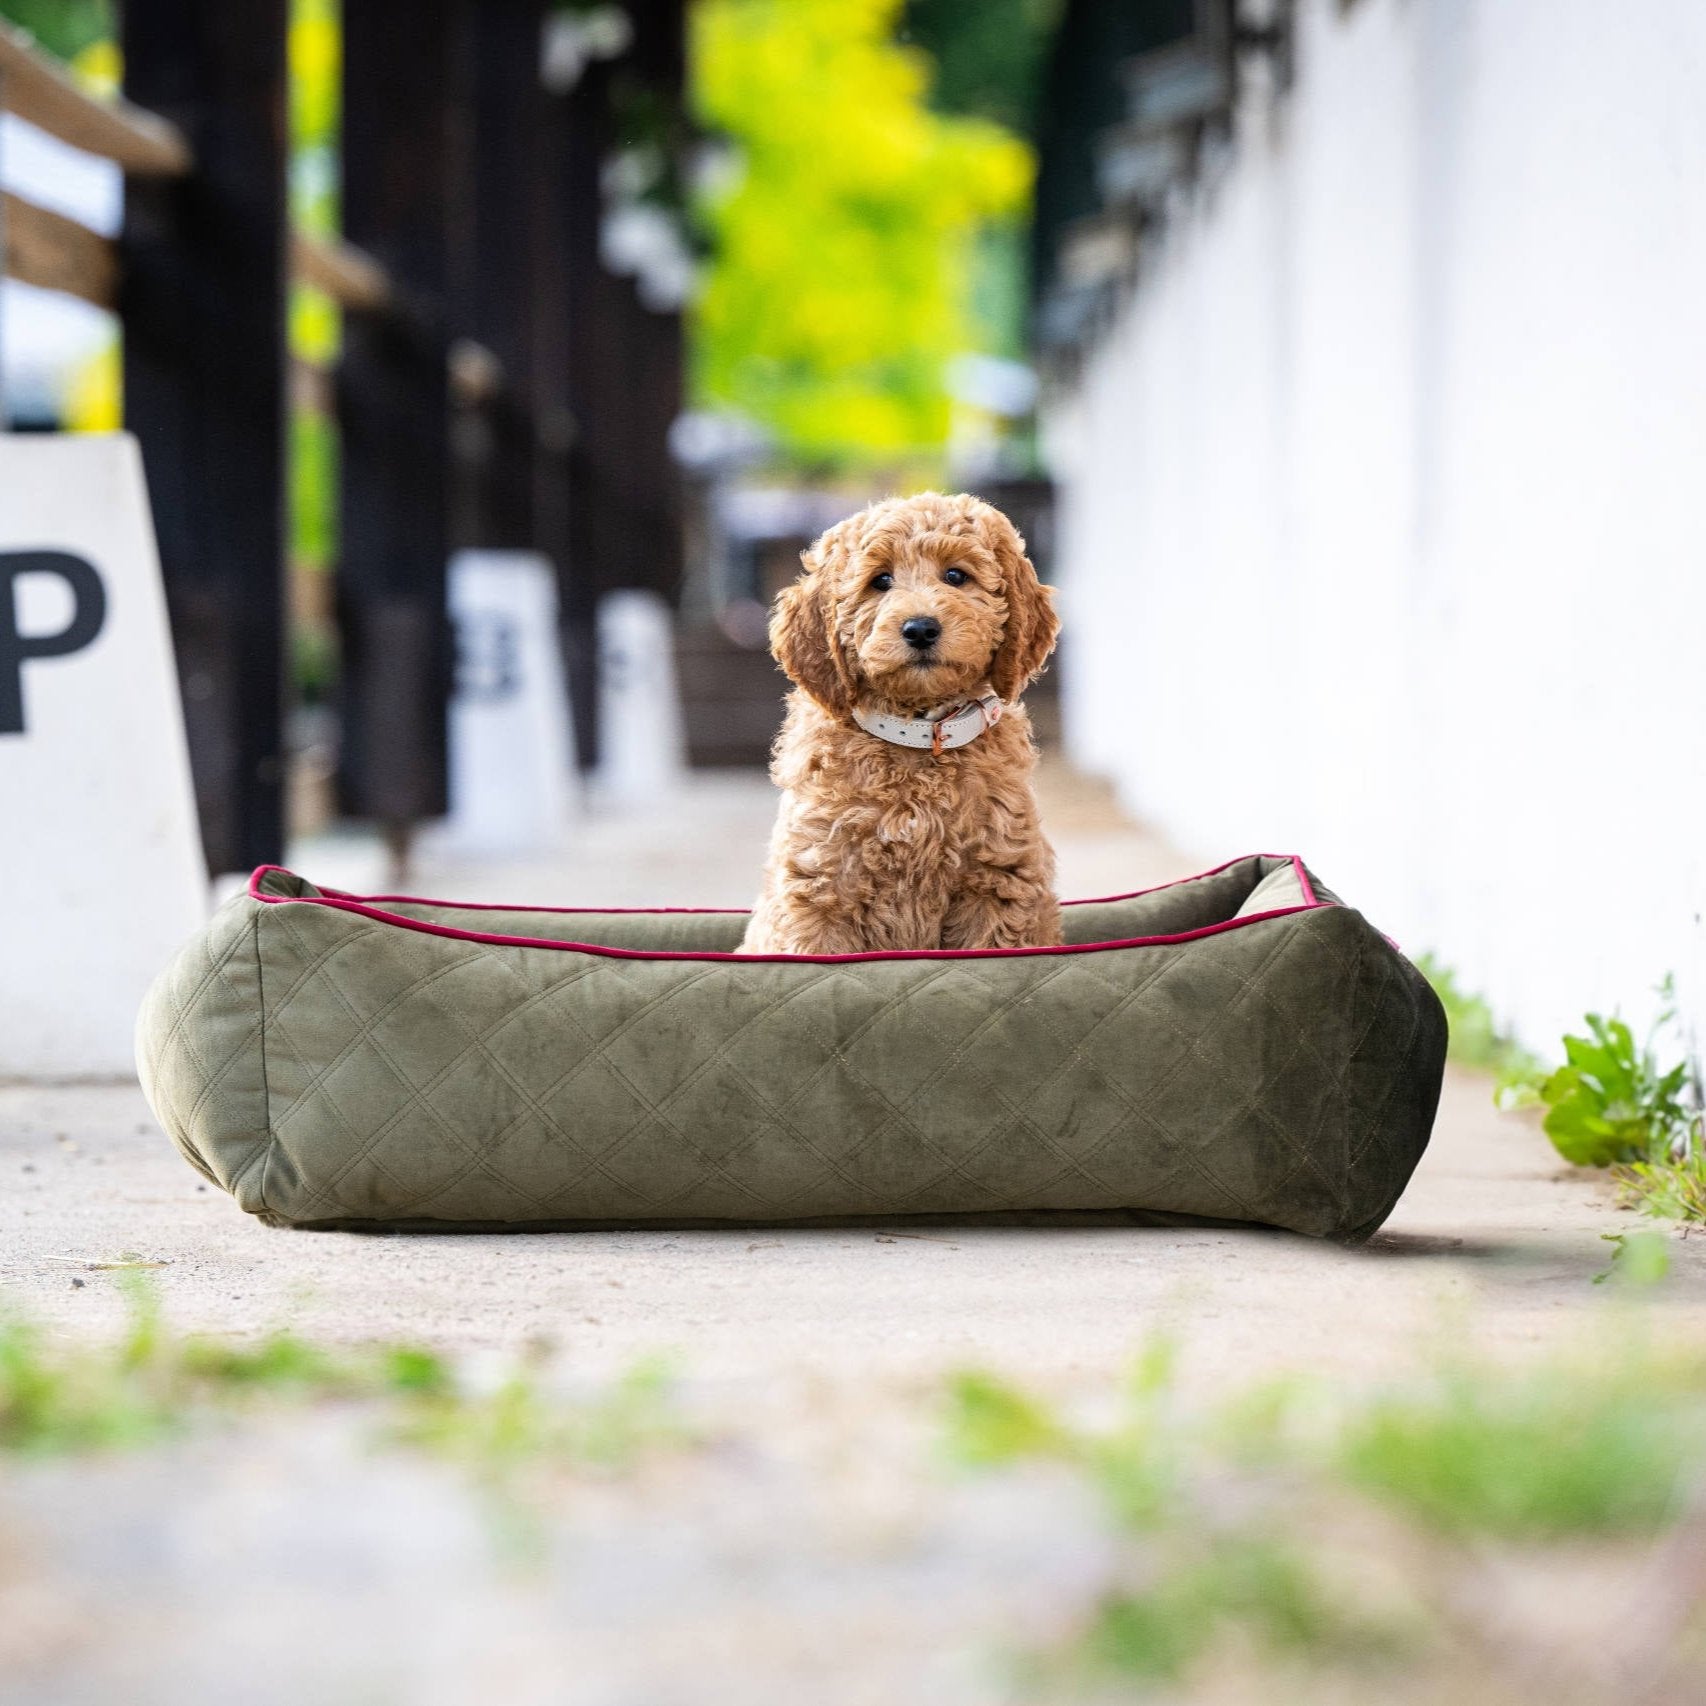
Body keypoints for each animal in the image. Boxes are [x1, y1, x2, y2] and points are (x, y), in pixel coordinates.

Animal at [740, 491, 1057, 962]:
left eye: (956, 576)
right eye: (880, 581)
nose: (921, 628)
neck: (919, 736)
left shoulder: (997, 883)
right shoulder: (821, 886)